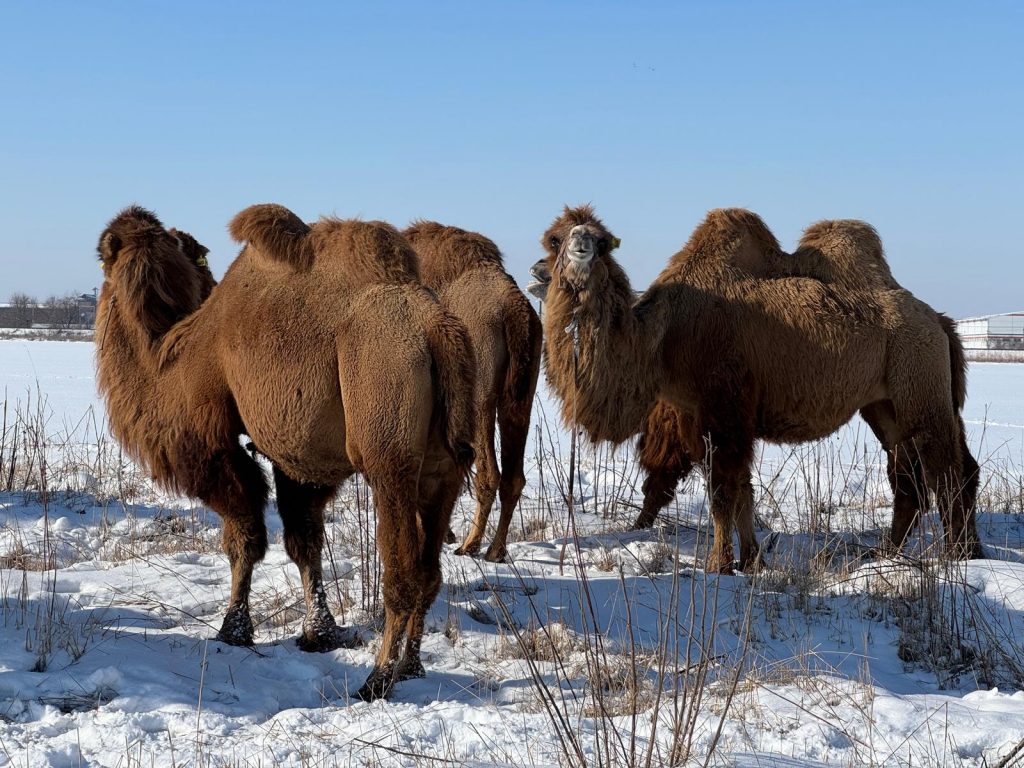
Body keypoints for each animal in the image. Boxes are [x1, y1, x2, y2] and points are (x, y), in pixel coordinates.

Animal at [95, 205, 475, 704]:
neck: (174, 355)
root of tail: (435, 327)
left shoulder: (215, 440)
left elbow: (245, 537)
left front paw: (233, 629)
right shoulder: (297, 457)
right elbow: (304, 540)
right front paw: (319, 633)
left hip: (386, 441)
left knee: (403, 573)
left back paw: (377, 679)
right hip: (445, 463)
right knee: (430, 568)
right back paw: (411, 668)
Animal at [401, 219, 544, 561]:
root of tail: (514, 308)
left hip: (479, 398)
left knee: (489, 473)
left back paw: (470, 545)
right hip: (520, 398)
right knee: (512, 476)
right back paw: (494, 549)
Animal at [532, 204, 978, 573]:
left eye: (603, 240)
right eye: (554, 238)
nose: (579, 244)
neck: (663, 339)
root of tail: (939, 320)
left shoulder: (725, 406)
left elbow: (722, 492)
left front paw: (719, 565)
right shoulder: (700, 414)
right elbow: (742, 488)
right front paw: (751, 559)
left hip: (920, 381)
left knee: (945, 469)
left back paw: (954, 557)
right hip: (884, 403)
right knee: (912, 474)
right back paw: (896, 554)